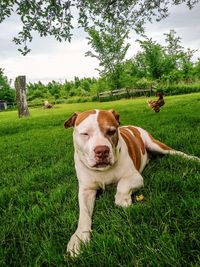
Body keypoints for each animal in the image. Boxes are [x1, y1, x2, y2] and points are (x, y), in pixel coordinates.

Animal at [65, 109, 199, 258]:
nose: (102, 150)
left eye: (111, 131)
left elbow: (122, 184)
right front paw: (79, 238)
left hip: (156, 144)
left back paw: (193, 159)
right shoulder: (86, 191)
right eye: (85, 134)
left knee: (177, 152)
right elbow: (84, 214)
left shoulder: (135, 177)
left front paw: (122, 199)